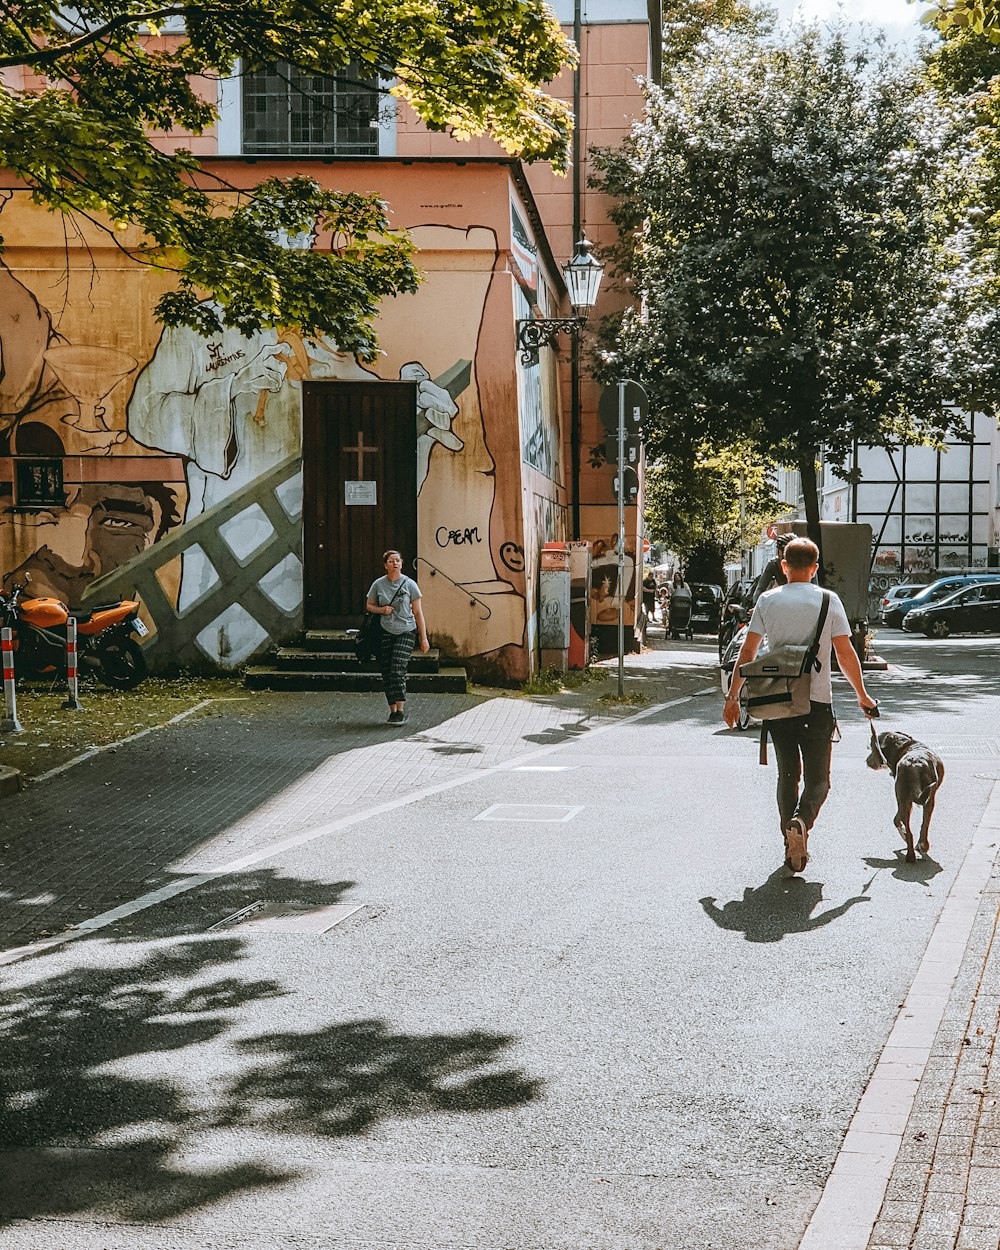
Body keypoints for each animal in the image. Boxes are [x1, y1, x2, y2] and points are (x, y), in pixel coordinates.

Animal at [865, 730, 945, 865]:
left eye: (871, 747)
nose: (866, 761)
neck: (902, 745)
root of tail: (915, 764)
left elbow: (896, 820)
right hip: (926, 798)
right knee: (923, 824)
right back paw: (918, 849)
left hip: (904, 798)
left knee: (908, 826)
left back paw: (911, 853)